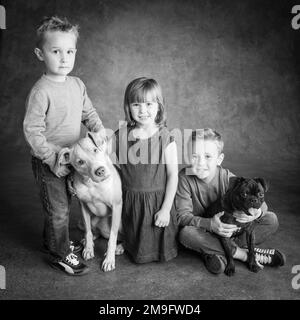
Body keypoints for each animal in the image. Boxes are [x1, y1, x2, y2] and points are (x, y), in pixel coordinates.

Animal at [57, 131, 123, 272]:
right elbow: (87, 230)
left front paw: (109, 259)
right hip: (85, 221)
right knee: (93, 230)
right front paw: (88, 248)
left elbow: (112, 238)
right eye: (80, 162)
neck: (92, 183)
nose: (100, 171)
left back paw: (119, 247)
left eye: (95, 150)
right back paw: (91, 238)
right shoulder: (83, 206)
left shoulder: (116, 206)